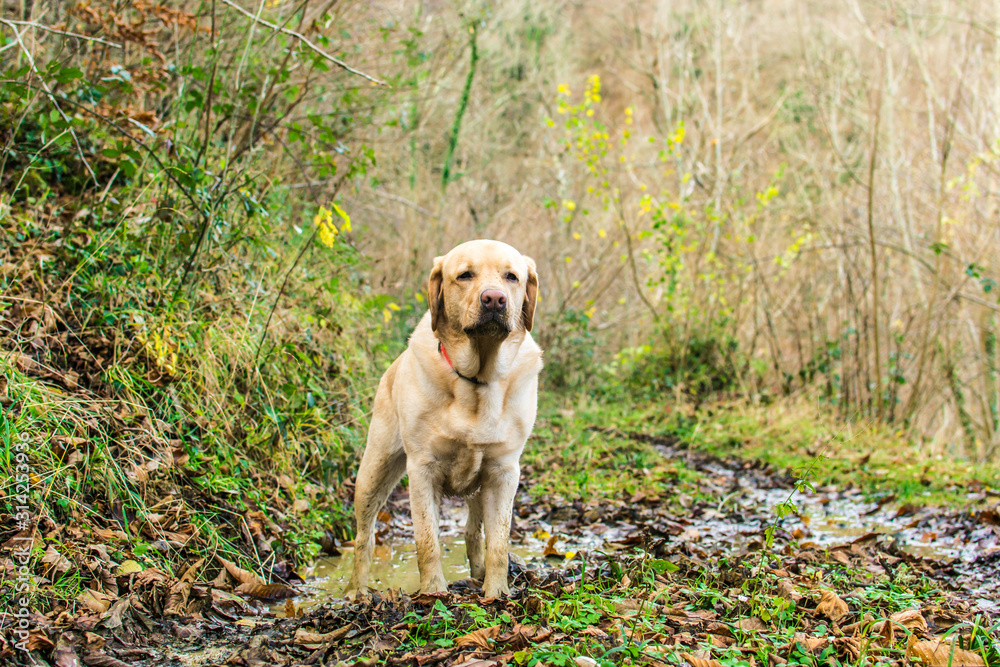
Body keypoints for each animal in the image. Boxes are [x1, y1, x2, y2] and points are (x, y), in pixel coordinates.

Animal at [346, 240, 548, 600]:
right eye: (465, 275)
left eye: (512, 277)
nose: (494, 299)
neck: (477, 379)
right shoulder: (422, 468)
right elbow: (427, 540)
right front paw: (434, 593)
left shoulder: (503, 472)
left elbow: (498, 543)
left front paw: (497, 593)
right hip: (374, 471)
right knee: (363, 537)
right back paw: (359, 591)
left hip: (482, 484)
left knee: (473, 532)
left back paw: (478, 573)